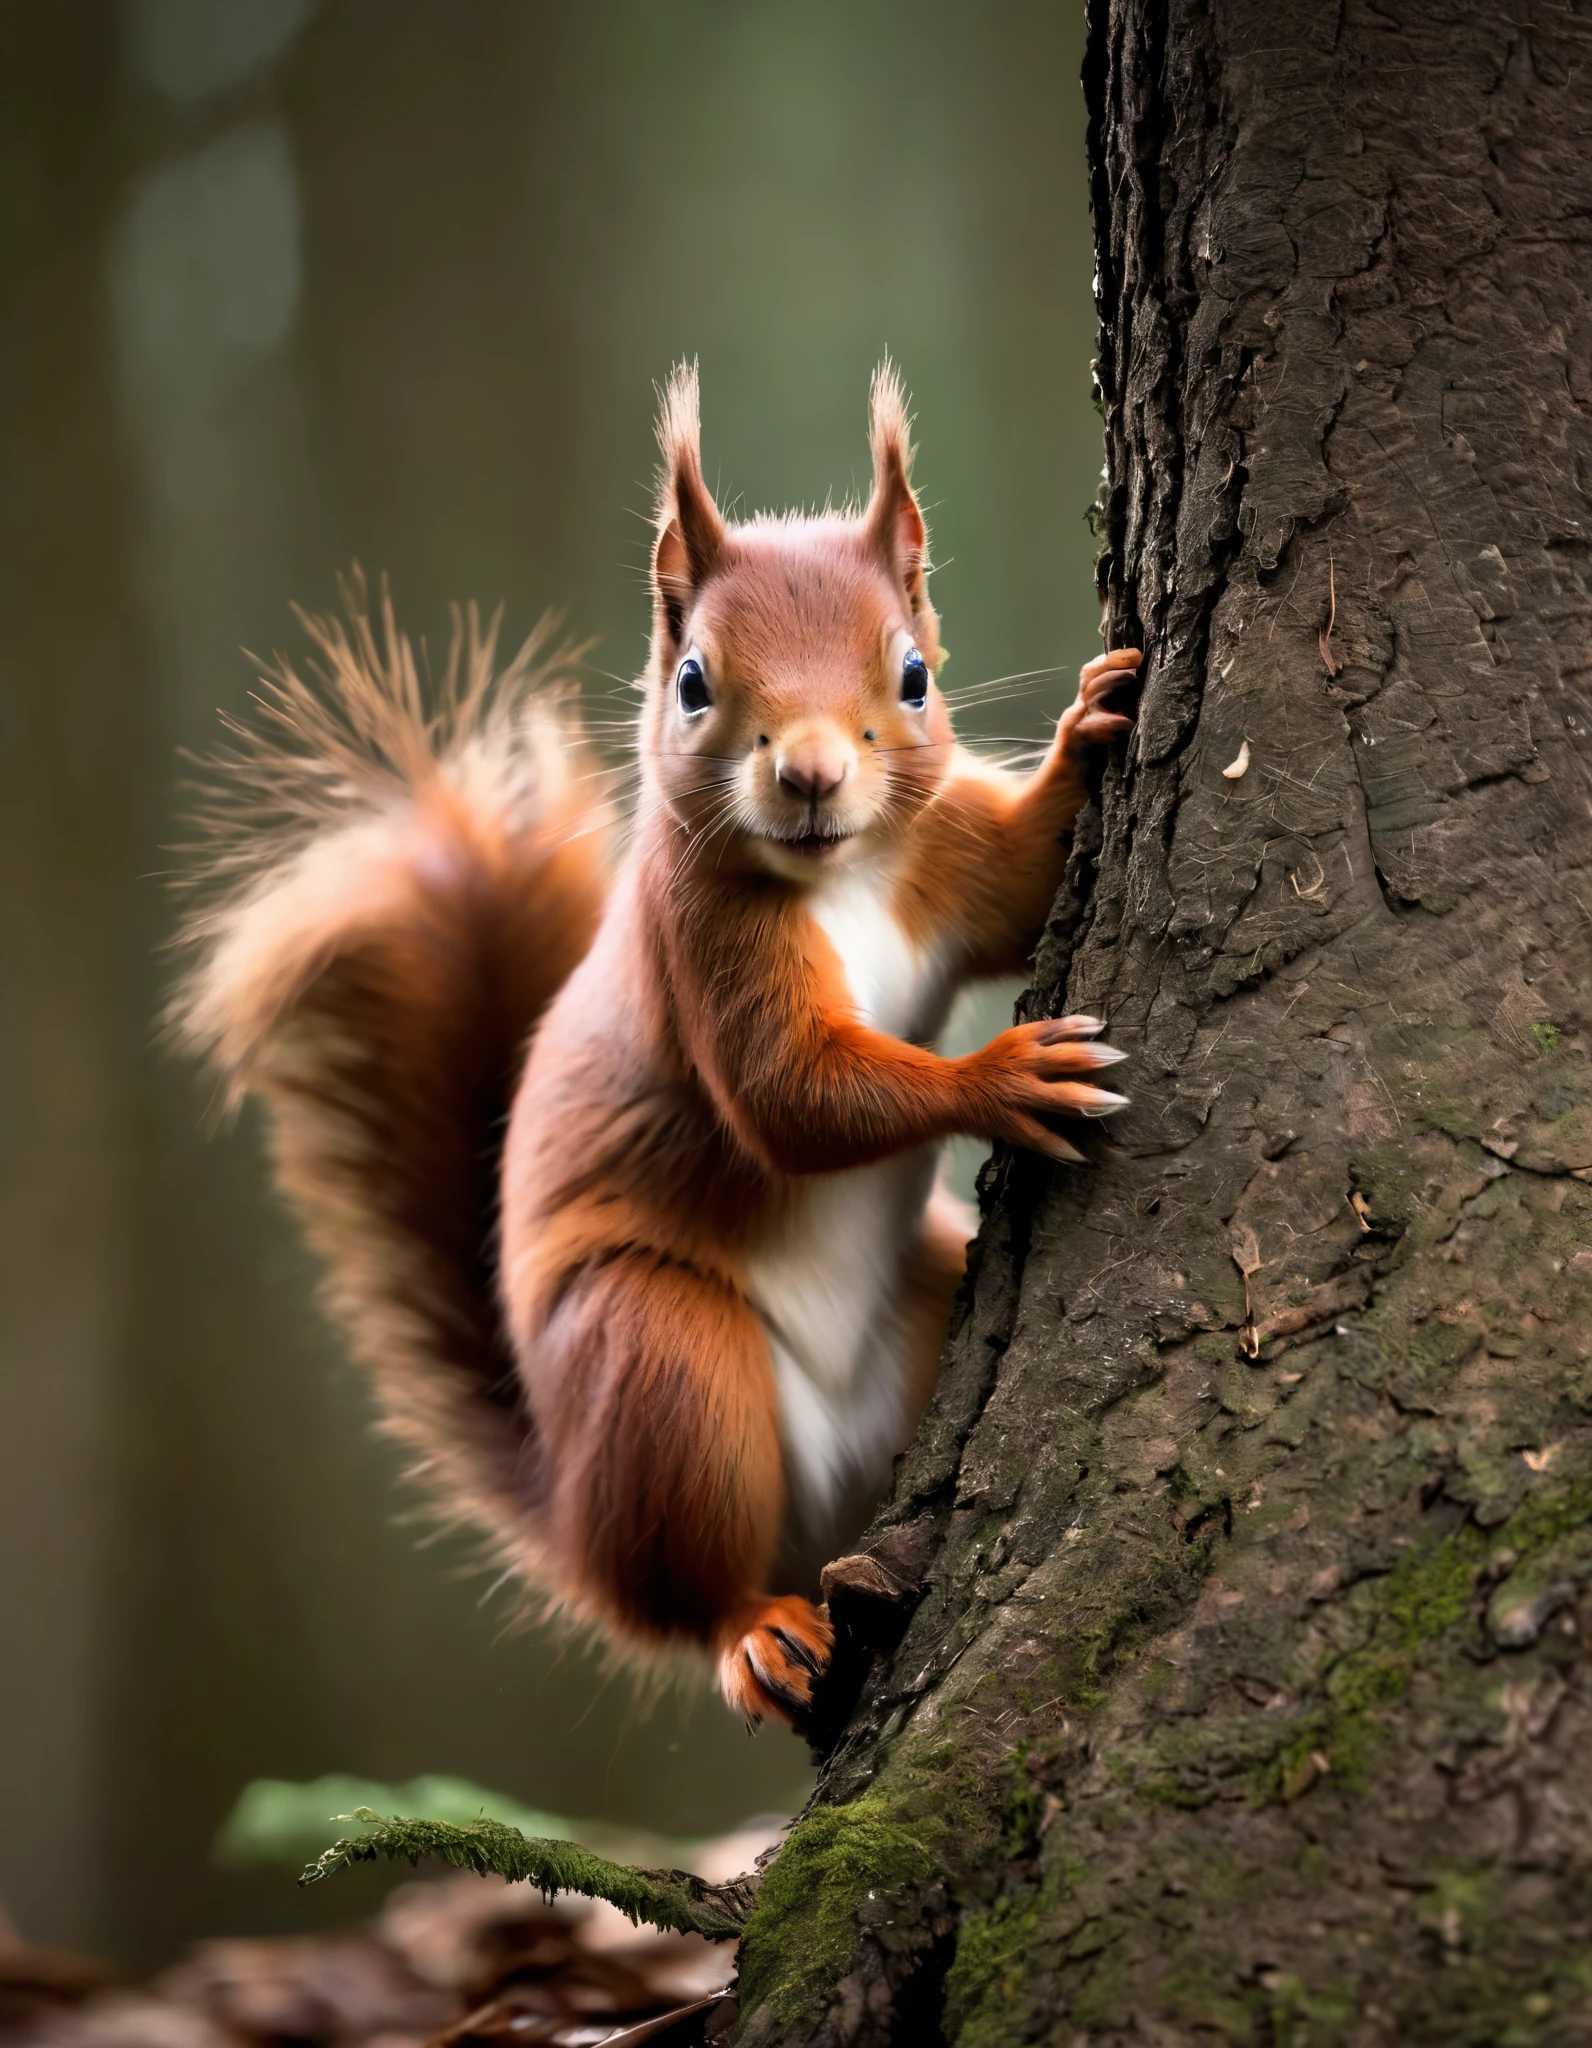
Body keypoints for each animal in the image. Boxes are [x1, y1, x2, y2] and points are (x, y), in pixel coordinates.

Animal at [180, 368, 1139, 1728]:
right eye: (692, 680)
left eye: (911, 675)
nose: (809, 772)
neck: (839, 875)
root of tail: (578, 1528)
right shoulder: (699, 952)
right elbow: (790, 1094)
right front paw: (1002, 1076)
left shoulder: (943, 861)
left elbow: (1015, 884)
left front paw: (1093, 721)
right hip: (656, 1364)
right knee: (694, 1592)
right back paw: (756, 1632)